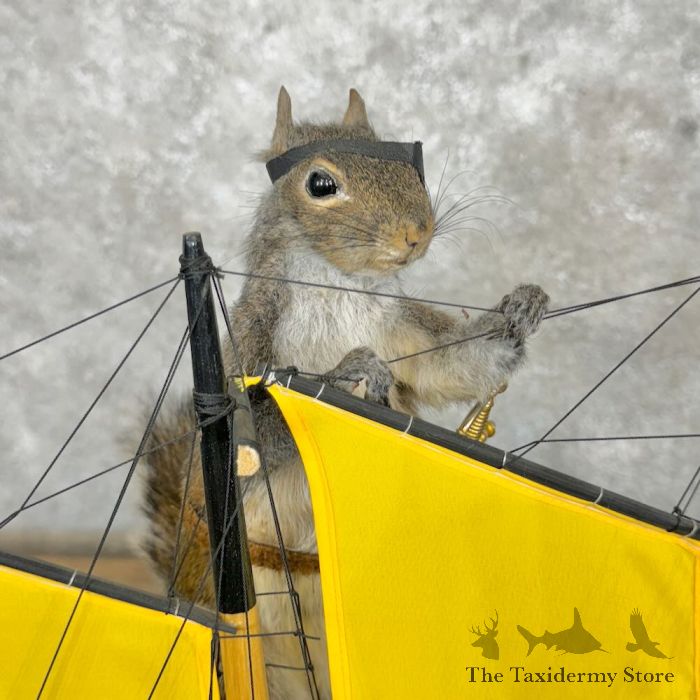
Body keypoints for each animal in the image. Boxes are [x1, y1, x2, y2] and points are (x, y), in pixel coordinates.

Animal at [143, 86, 549, 699]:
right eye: (320, 184)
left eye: (411, 160)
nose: (416, 233)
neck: (337, 282)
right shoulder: (254, 331)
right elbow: (243, 437)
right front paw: (348, 369)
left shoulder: (399, 325)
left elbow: (446, 362)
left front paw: (515, 314)